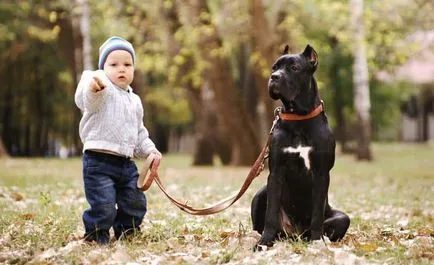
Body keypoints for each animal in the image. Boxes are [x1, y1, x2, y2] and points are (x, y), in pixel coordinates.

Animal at [251, 44, 350, 249]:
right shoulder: (276, 173)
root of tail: (294, 234)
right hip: (260, 194)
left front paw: (317, 241)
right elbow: (271, 213)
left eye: (294, 68)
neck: (299, 117)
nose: (274, 77)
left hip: (342, 218)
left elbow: (317, 215)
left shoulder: (321, 173)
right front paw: (264, 242)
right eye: (274, 68)